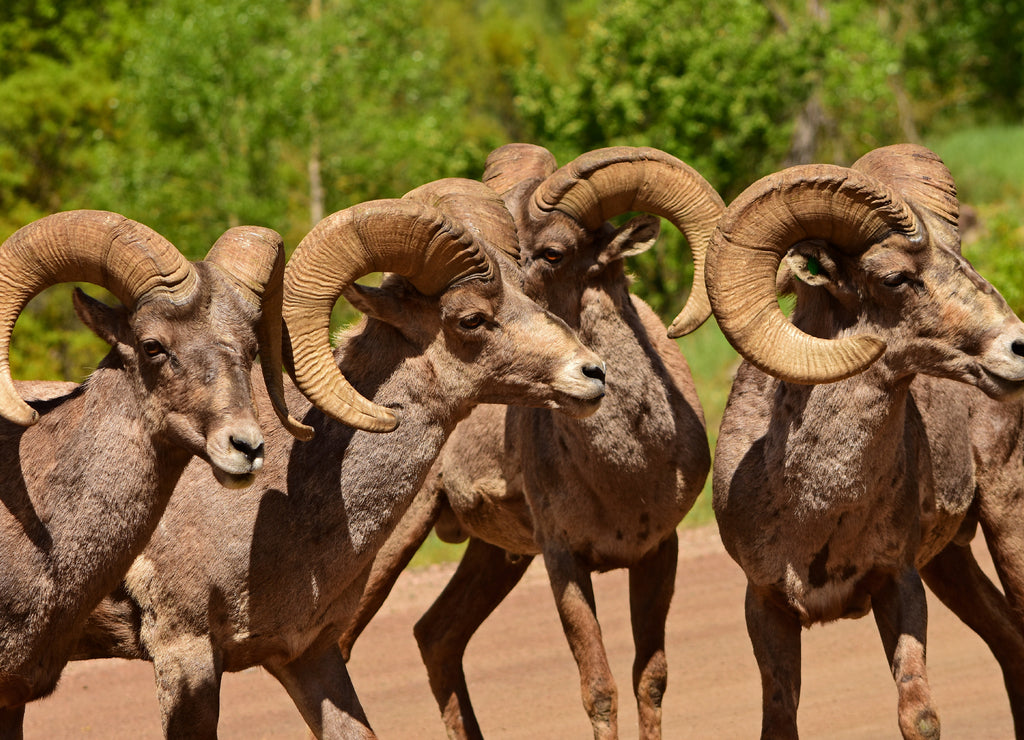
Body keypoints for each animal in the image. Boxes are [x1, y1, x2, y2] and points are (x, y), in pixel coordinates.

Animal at [336, 144, 724, 740]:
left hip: (494, 558)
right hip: (389, 546)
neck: (627, 469)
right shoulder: (563, 560)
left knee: (436, 636)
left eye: (553, 252)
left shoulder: (659, 551)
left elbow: (650, 679)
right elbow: (600, 689)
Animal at [705, 143, 1024, 739]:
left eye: (960, 255)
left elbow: (918, 716)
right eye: (896, 277)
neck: (818, 507)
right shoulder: (766, 605)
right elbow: (779, 718)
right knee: (1009, 642)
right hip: (951, 565)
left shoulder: (897, 583)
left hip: (1005, 523)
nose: (1018, 347)